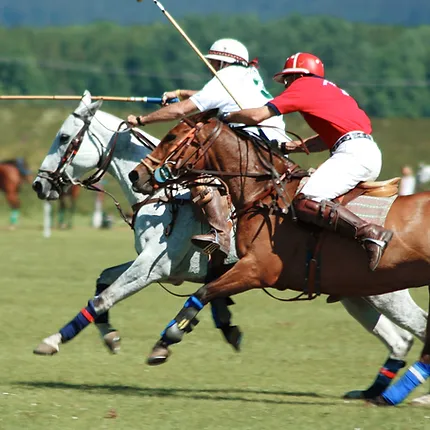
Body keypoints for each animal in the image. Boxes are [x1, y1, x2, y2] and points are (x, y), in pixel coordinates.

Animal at [128, 111, 430, 406]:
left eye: (172, 136)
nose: (136, 174)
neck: (261, 196)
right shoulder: (239, 264)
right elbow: (210, 289)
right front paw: (222, 326)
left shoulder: (258, 269)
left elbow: (203, 292)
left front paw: (166, 341)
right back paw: (379, 392)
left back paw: (394, 395)